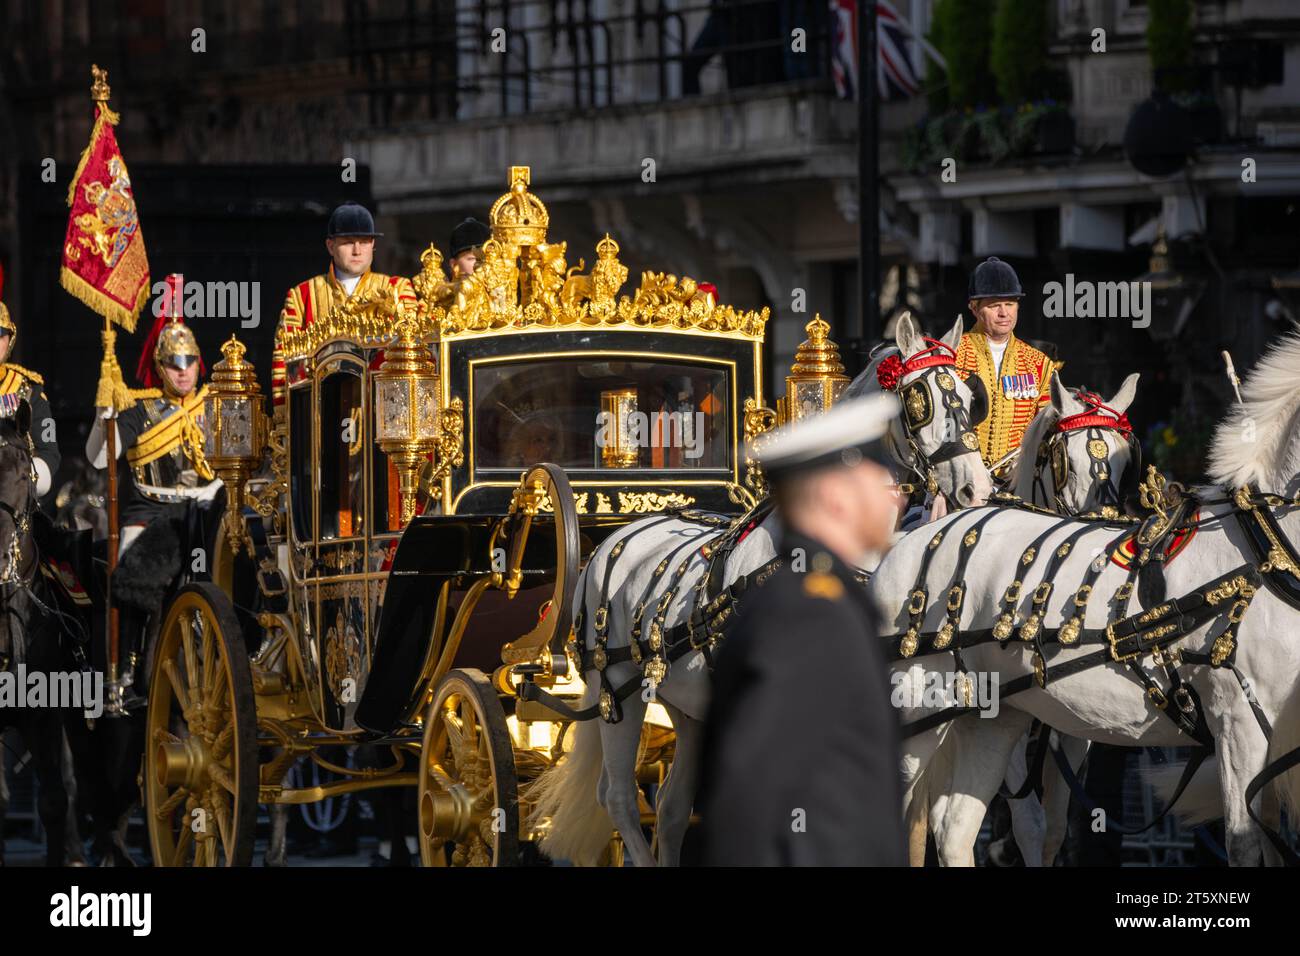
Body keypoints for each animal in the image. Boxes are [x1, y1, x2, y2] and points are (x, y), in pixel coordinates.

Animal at [522, 314, 987, 868]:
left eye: (969, 395)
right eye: (921, 399)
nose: (977, 489)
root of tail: (612, 540)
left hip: (687, 707)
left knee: (672, 808)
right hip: (617, 690)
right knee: (617, 799)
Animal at [889, 335, 1300, 868]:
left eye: (1129, 462)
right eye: (1066, 463)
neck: (1262, 550)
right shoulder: (1238, 724)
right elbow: (1245, 842)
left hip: (991, 717)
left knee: (954, 826)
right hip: (915, 715)